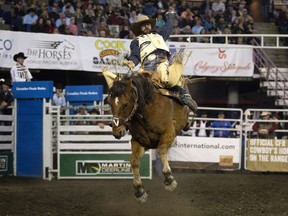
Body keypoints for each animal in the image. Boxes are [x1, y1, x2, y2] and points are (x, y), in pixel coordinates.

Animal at [104, 70, 190, 203]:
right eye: (110, 103)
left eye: (125, 104)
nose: (117, 131)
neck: (145, 112)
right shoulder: (140, 141)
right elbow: (134, 161)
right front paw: (139, 191)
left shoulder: (169, 132)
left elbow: (161, 150)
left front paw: (169, 180)